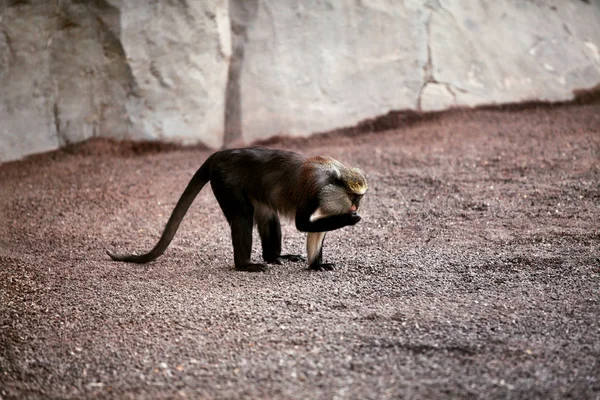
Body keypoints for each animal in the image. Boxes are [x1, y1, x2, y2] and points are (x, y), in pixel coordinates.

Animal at [108, 147, 368, 272]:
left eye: (360, 197)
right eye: (353, 196)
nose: (355, 205)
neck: (332, 177)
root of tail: (219, 155)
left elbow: (316, 228)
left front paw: (316, 265)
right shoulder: (312, 190)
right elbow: (303, 224)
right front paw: (350, 219)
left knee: (269, 217)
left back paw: (274, 257)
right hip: (226, 183)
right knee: (243, 216)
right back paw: (245, 265)